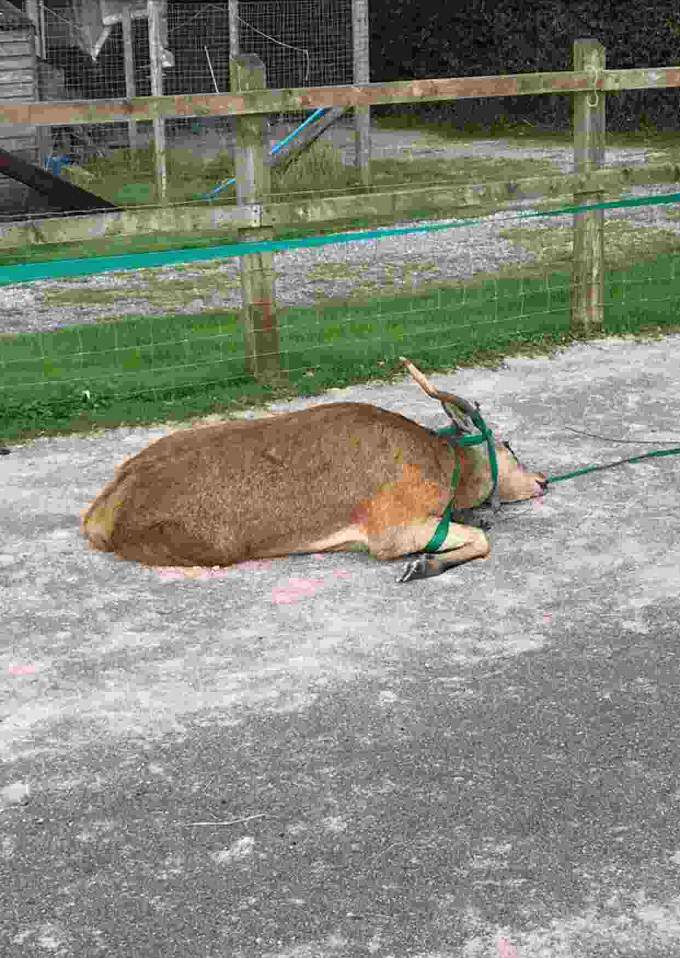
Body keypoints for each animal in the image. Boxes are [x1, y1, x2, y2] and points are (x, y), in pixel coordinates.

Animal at [80, 357, 548, 582]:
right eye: (509, 445)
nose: (542, 480)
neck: (445, 469)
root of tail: (98, 516)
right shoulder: (391, 529)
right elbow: (482, 540)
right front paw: (421, 566)